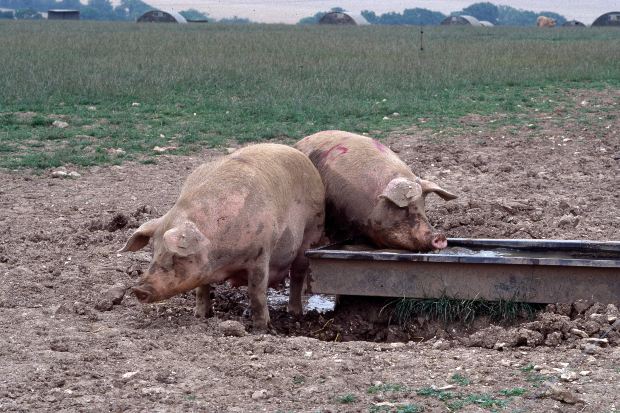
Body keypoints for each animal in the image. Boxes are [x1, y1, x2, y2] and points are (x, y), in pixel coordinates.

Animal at [118, 143, 326, 334]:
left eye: (177, 255)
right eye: (154, 251)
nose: (138, 290)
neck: (221, 260)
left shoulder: (261, 254)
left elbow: (256, 292)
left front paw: (261, 329)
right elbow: (201, 289)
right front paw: (201, 316)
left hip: (313, 229)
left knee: (298, 275)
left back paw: (295, 313)